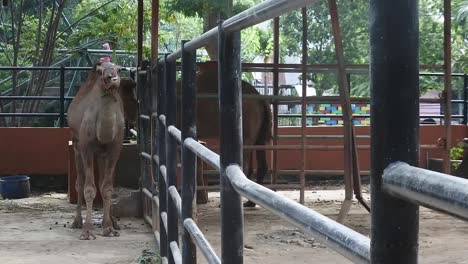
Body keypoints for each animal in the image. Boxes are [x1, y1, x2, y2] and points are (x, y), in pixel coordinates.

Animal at [67, 61, 137, 239]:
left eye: (119, 69)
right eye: (100, 71)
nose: (112, 78)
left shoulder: (114, 148)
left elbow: (107, 187)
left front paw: (109, 227)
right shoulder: (86, 147)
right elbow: (89, 188)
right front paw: (87, 231)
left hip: (100, 153)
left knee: (100, 182)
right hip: (76, 146)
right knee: (79, 182)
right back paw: (77, 221)